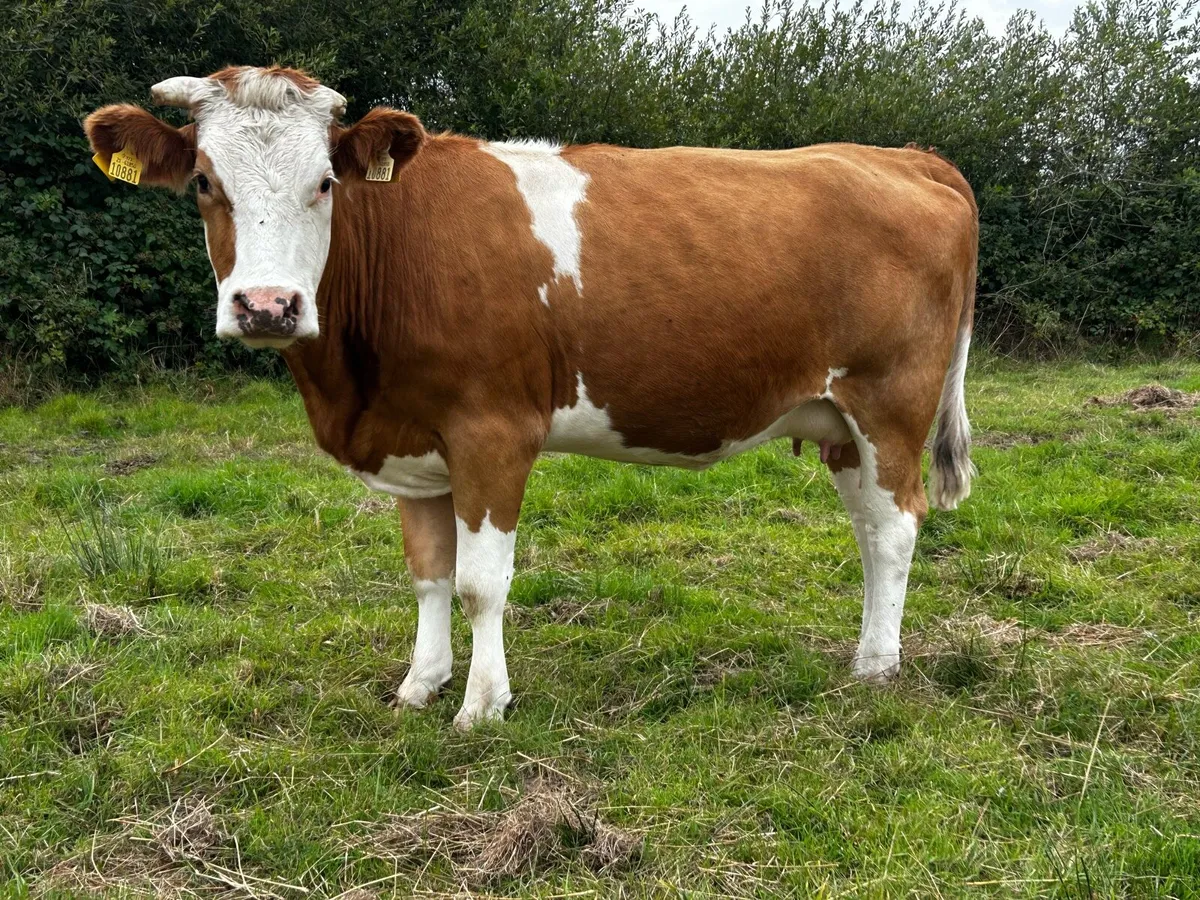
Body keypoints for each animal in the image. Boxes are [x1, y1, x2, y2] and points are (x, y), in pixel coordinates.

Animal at [85, 66, 977, 729]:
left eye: (327, 182)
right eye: (204, 182)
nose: (267, 306)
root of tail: (906, 156)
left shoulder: (493, 432)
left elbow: (482, 581)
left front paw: (482, 705)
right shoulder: (416, 443)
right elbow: (429, 574)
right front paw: (422, 684)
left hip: (889, 405)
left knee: (896, 529)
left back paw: (876, 668)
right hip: (839, 422)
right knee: (869, 529)